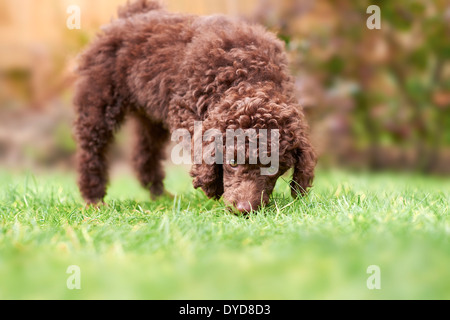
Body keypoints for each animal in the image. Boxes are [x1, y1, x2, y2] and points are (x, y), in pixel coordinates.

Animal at [73, 1, 316, 214]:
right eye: (232, 162)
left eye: (273, 169)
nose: (244, 210)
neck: (248, 76)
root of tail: (131, 13)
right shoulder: (187, 111)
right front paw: (213, 186)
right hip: (98, 100)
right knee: (91, 150)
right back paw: (94, 199)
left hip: (151, 115)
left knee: (145, 153)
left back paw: (159, 195)